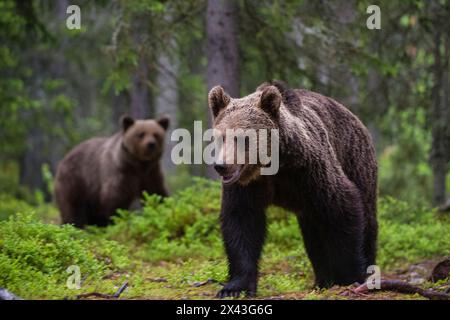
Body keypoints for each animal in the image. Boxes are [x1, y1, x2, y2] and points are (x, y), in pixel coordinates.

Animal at [209, 80, 378, 298]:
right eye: (220, 137)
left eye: (243, 137)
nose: (221, 166)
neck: (272, 166)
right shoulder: (246, 186)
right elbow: (241, 223)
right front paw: (235, 287)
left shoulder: (309, 171)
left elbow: (342, 208)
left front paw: (349, 277)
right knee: (314, 236)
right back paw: (322, 280)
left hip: (356, 163)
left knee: (366, 220)